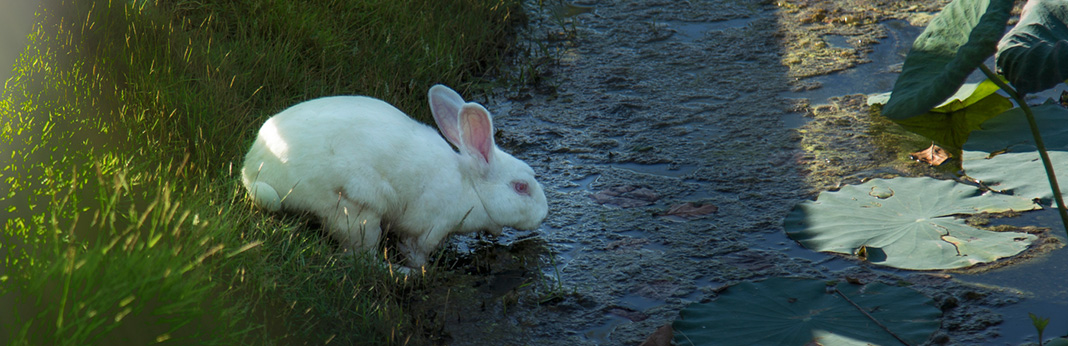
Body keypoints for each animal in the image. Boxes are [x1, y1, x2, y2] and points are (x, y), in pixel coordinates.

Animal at [243, 84, 551, 268]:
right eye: (521, 187)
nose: (544, 214)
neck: (470, 187)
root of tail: (254, 170)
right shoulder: (431, 229)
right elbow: (417, 251)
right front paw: (420, 269)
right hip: (357, 213)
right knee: (361, 258)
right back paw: (400, 273)